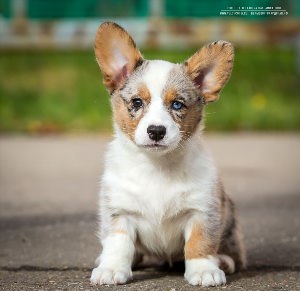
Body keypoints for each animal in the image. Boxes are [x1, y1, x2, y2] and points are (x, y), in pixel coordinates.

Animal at [89, 22, 246, 288]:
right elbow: (118, 244)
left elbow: (200, 242)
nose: (156, 131)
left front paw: (203, 270)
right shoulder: (119, 211)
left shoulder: (202, 211)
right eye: (137, 102)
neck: (157, 166)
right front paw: (111, 268)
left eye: (177, 104)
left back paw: (223, 260)